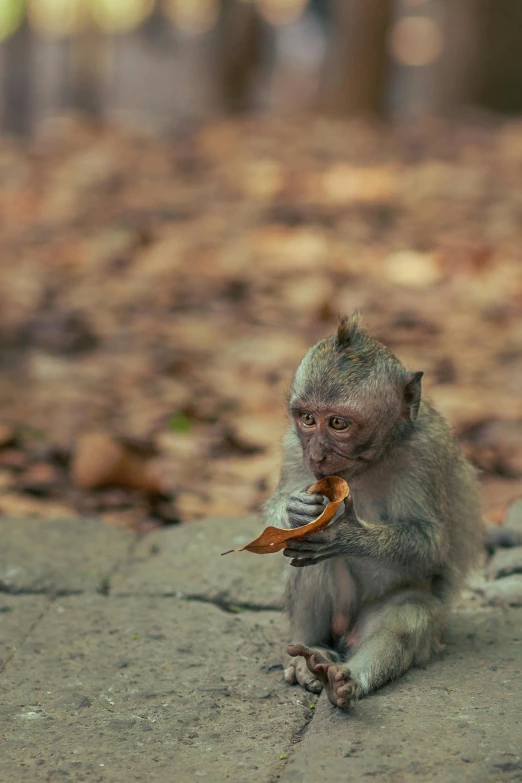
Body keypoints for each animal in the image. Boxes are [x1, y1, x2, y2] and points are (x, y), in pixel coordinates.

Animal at [264, 314, 480, 712]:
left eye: (338, 423)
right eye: (307, 418)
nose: (316, 455)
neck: (369, 462)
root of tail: (346, 632)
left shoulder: (426, 453)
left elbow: (430, 543)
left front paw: (348, 534)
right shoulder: (292, 443)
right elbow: (287, 523)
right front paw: (293, 510)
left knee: (405, 616)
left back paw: (345, 679)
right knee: (305, 557)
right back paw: (311, 654)